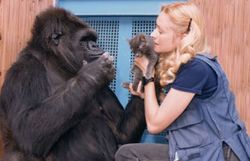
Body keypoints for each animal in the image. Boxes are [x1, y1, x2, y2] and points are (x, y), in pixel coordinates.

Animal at [0, 6, 146, 160]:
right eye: (84, 39)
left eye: (92, 39)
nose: (95, 45)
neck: (56, 62)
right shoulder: (24, 71)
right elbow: (28, 128)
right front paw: (94, 73)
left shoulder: (103, 88)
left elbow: (121, 133)